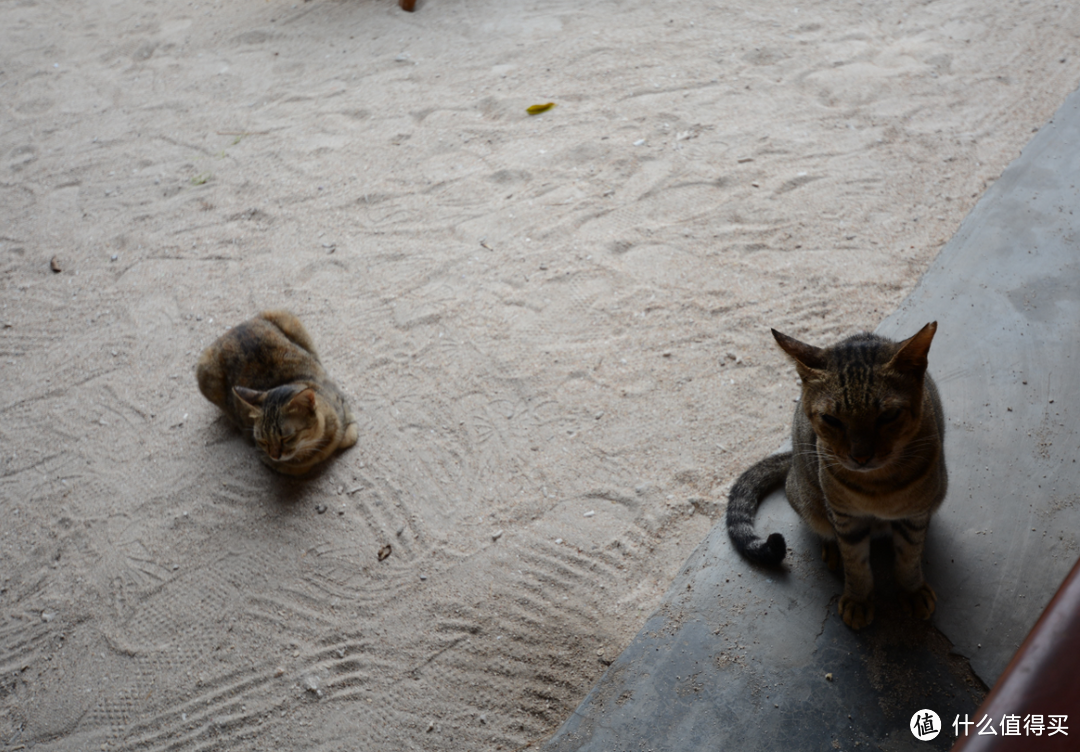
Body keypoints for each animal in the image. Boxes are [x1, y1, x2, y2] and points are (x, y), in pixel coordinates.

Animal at [196, 309, 360, 475]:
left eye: (286, 438)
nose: (274, 455)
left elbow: (349, 435)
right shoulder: (266, 455)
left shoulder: (342, 404)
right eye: (263, 441)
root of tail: (234, 329)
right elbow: (298, 466)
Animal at [725, 321, 946, 626]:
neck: (877, 486)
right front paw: (858, 599)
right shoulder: (845, 517)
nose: (861, 456)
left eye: (888, 416)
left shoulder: (914, 514)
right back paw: (832, 549)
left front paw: (911, 590)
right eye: (831, 419)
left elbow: (909, 557)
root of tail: (792, 462)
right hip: (810, 501)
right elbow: (856, 563)